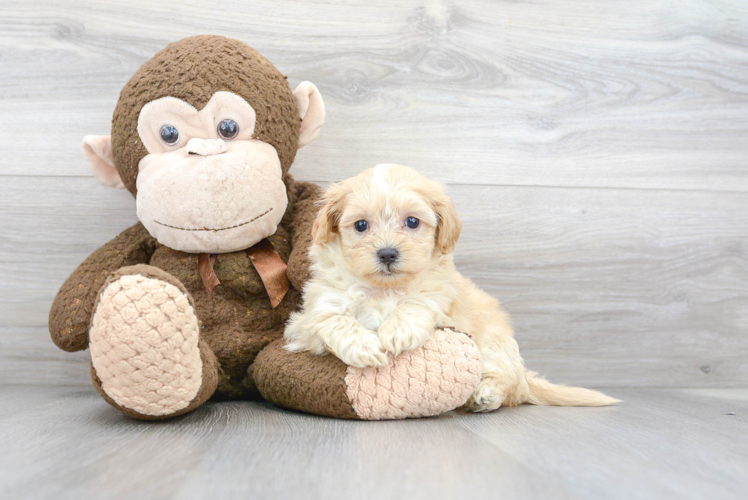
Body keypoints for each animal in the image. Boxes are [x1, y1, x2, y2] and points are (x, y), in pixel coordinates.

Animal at [284, 164, 616, 410]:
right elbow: (333, 320)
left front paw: (398, 331)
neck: (384, 289)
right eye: (361, 225)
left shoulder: (442, 301)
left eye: (412, 222)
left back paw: (486, 394)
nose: (388, 253)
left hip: (492, 345)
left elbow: (419, 303)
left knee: (511, 385)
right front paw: (364, 346)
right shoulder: (308, 319)